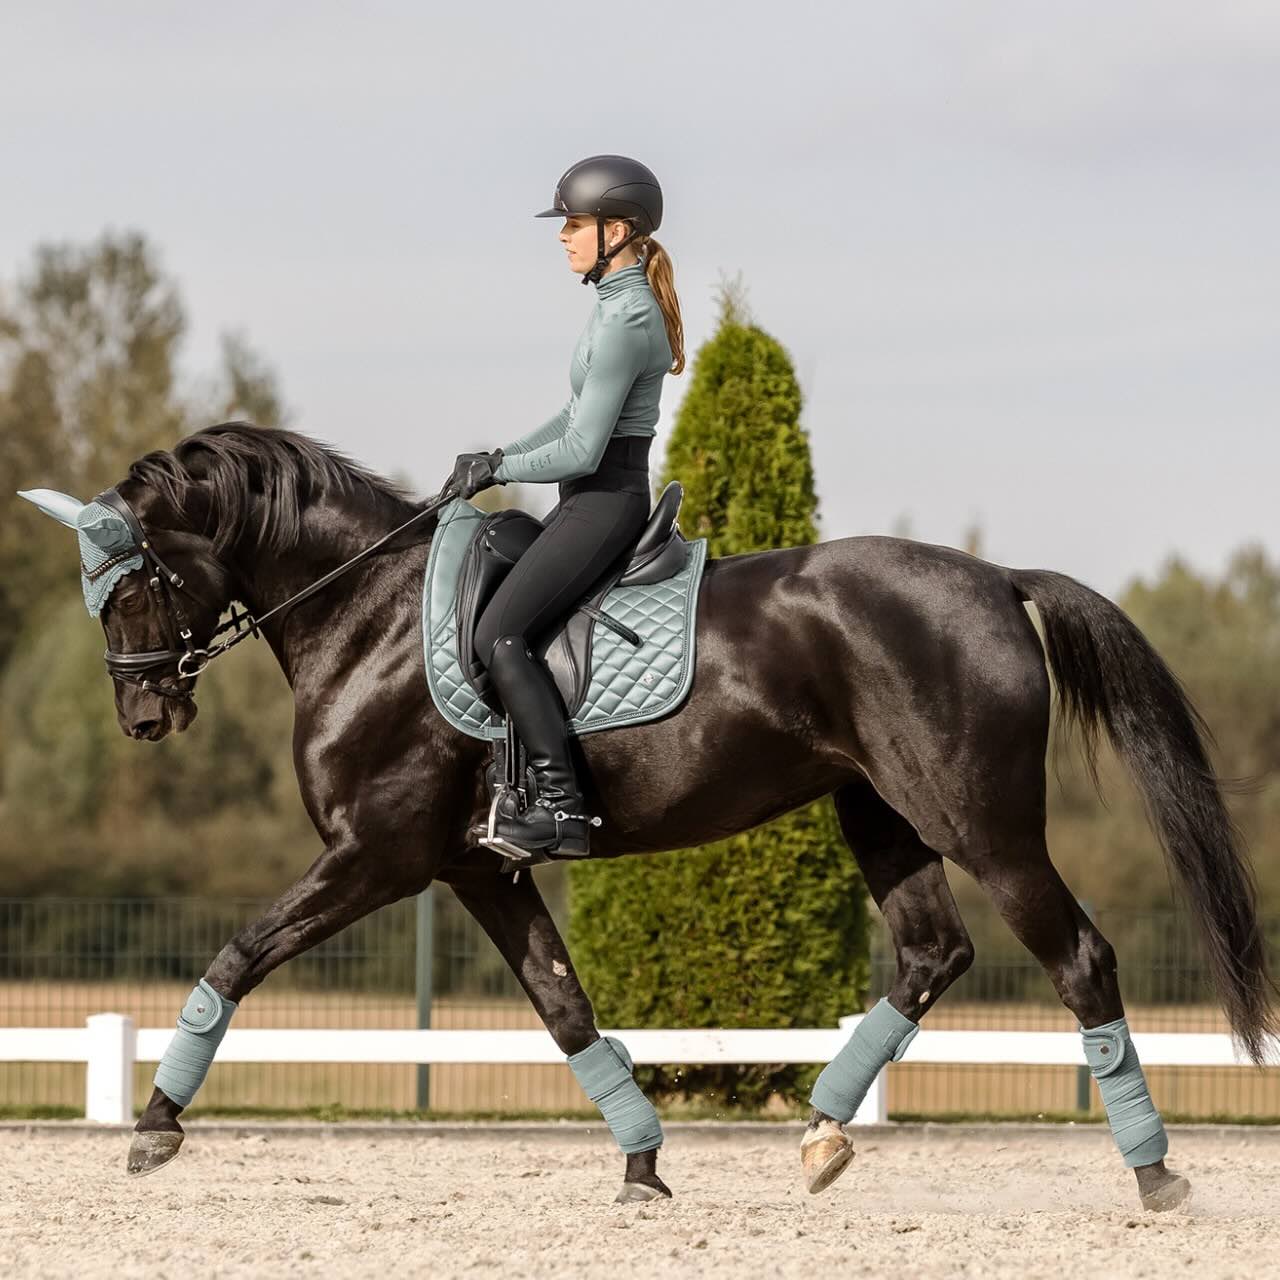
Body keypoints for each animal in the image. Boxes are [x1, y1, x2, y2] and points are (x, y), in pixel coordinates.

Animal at [26, 421, 1275, 1209]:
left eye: (129, 586)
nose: (142, 712)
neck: (367, 615)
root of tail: (993, 578)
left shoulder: (373, 856)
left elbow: (236, 954)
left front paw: (154, 1125)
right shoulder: (480, 869)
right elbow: (565, 1009)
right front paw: (640, 1163)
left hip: (984, 824)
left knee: (1076, 956)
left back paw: (1154, 1173)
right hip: (880, 814)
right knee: (933, 951)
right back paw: (819, 1135)